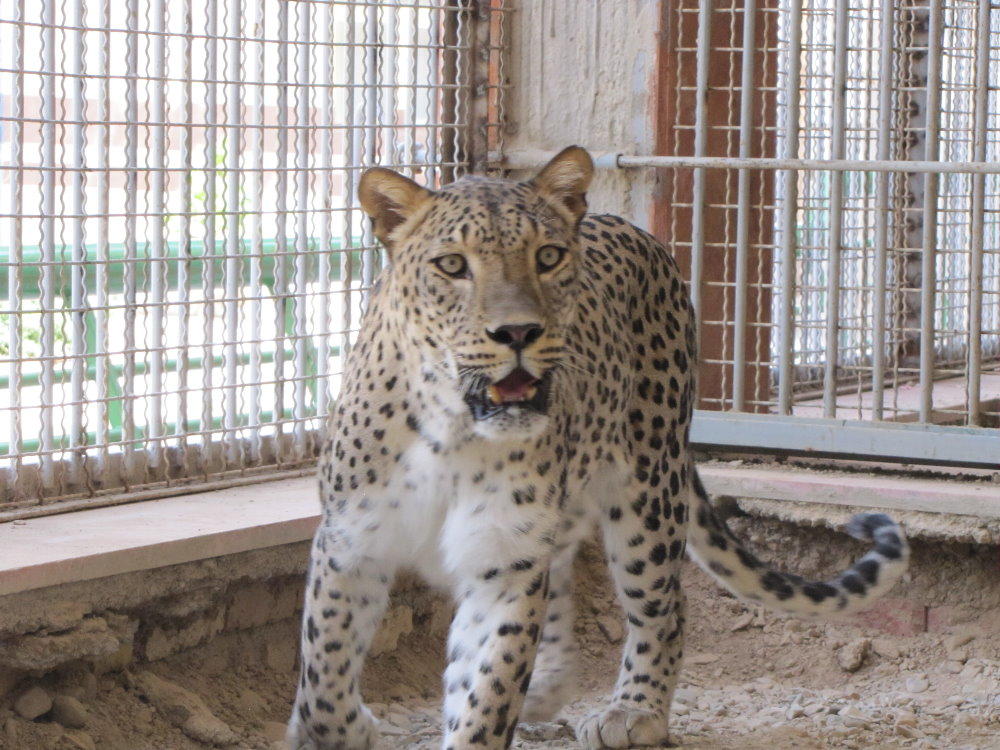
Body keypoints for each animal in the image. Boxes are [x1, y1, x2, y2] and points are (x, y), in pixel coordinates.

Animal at [286, 146, 909, 750]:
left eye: (547, 257)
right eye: (452, 265)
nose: (518, 333)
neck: (453, 431)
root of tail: (633, 228)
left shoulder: (504, 562)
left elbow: (487, 694)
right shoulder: (351, 542)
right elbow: (323, 670)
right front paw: (338, 729)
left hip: (648, 490)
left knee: (664, 606)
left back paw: (635, 712)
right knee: (562, 582)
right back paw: (545, 691)